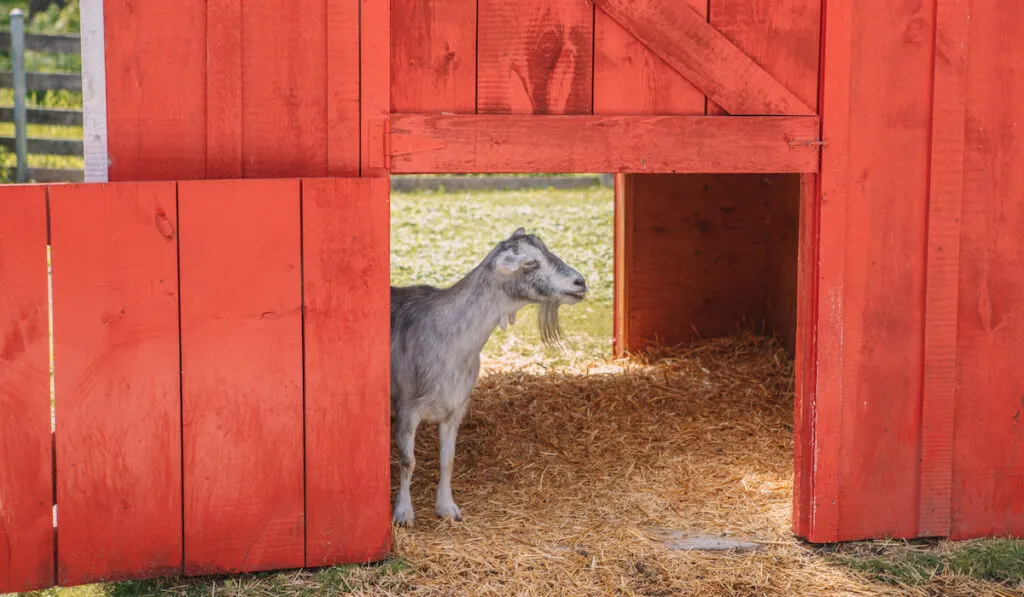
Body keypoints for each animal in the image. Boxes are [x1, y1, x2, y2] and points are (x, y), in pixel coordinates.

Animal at [389, 226, 589, 524]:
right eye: (530, 262)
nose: (580, 283)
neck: (449, 340)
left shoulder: (455, 408)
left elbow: (448, 460)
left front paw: (447, 508)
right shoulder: (406, 407)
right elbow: (407, 460)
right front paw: (403, 512)